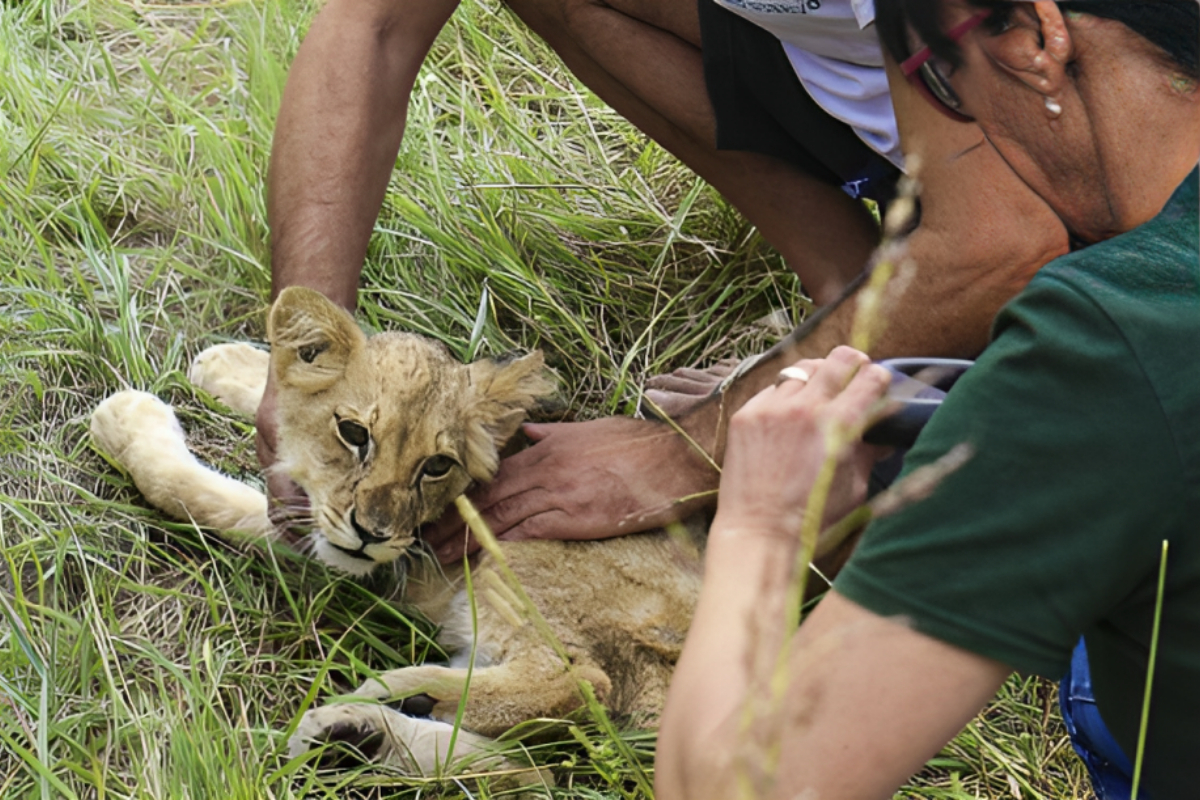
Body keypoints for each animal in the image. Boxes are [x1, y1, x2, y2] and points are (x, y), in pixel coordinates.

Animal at [90, 286, 707, 779]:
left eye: (437, 465)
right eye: (353, 433)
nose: (371, 533)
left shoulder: (364, 547)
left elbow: (197, 493)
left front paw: (126, 421)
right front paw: (232, 364)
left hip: (524, 555)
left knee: (577, 682)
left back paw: (390, 694)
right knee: (532, 769)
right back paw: (350, 736)